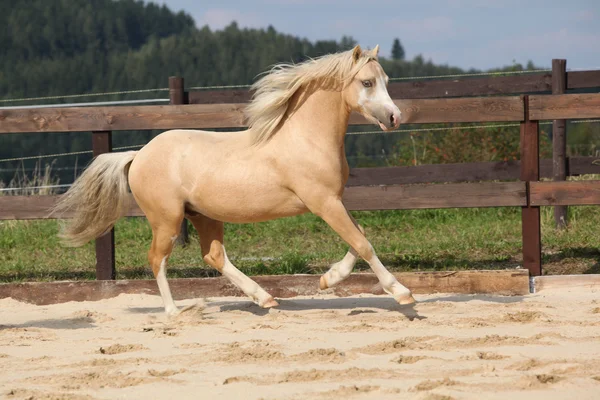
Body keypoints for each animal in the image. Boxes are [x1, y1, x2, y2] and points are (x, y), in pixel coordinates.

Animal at [54, 45, 414, 316]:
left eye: (385, 79)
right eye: (367, 82)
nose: (394, 117)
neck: (305, 138)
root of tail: (138, 155)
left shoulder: (333, 200)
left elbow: (359, 235)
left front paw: (327, 280)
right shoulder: (322, 202)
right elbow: (363, 243)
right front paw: (402, 293)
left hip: (203, 216)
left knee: (214, 256)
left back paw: (265, 298)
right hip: (166, 219)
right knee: (157, 258)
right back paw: (174, 312)